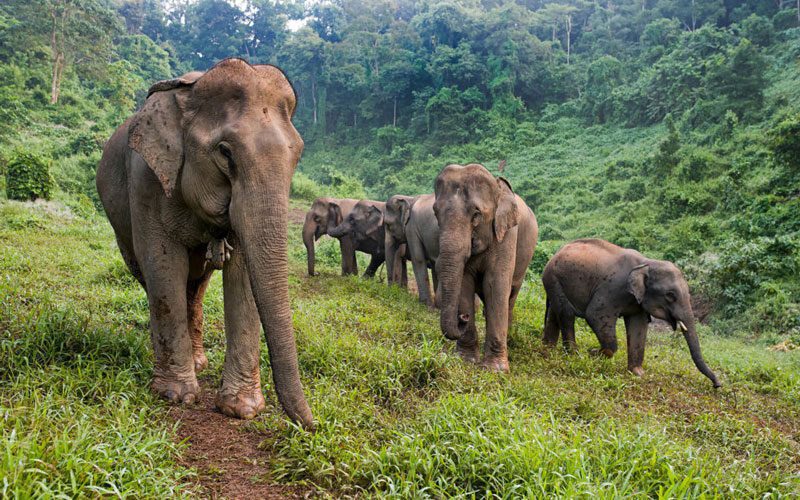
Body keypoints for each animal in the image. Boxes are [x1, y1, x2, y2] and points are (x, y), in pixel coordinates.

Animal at [95, 58, 314, 427]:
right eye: (225, 153)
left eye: (297, 154)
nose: (312, 425)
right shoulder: (145, 179)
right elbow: (163, 263)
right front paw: (175, 395)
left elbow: (242, 273)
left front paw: (241, 409)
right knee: (152, 276)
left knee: (196, 285)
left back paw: (198, 362)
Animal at [434, 164, 538, 372]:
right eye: (435, 212)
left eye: (476, 215)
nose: (463, 317)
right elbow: (465, 282)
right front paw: (466, 360)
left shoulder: (506, 235)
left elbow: (495, 285)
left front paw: (496, 370)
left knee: (509, 298)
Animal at [541, 238, 721, 388]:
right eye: (670, 295)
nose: (717, 384)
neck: (646, 262)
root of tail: (557, 252)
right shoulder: (612, 288)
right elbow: (595, 314)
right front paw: (592, 354)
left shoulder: (637, 302)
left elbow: (638, 326)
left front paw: (638, 373)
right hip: (553, 278)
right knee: (566, 314)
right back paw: (573, 355)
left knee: (555, 314)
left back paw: (548, 348)